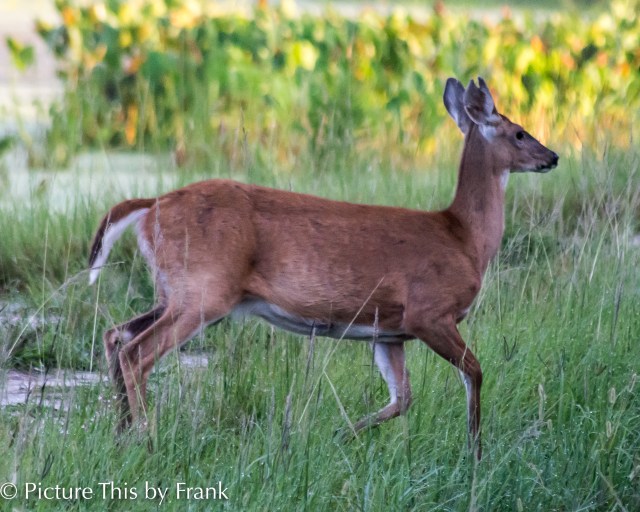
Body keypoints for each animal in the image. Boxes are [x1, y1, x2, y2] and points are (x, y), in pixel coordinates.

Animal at [88, 77, 558, 460]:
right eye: (519, 132)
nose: (552, 156)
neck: (465, 239)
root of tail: (152, 205)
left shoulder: (389, 331)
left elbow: (402, 398)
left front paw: (336, 436)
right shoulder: (430, 313)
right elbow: (474, 373)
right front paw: (475, 451)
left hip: (174, 289)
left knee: (116, 335)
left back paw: (120, 436)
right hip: (204, 291)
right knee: (137, 352)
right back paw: (146, 440)